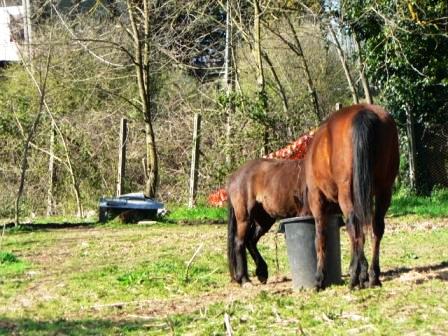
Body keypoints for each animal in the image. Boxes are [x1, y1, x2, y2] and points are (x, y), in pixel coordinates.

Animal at [304, 103, 400, 290]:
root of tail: (363, 112)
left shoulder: (316, 200)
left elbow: (321, 238)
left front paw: (319, 278)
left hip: (346, 193)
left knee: (353, 225)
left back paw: (357, 275)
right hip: (384, 190)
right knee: (376, 227)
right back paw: (372, 275)